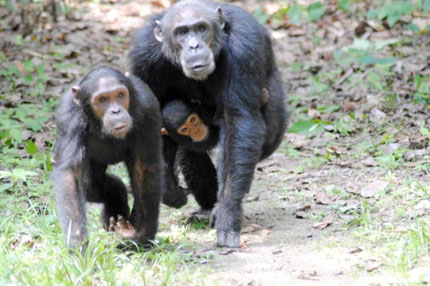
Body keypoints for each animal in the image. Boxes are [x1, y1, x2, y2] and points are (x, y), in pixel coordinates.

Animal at [52, 67, 163, 250]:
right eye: (102, 99)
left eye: (120, 95)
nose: (116, 111)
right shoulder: (68, 117)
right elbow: (71, 175)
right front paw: (78, 246)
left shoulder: (149, 109)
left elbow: (144, 169)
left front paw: (140, 236)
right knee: (92, 185)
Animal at [128, 0, 288, 247]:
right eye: (182, 32)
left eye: (201, 28)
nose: (194, 46)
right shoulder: (143, 58)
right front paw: (168, 189)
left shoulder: (243, 50)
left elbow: (238, 120)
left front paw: (228, 214)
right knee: (189, 152)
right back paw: (205, 208)